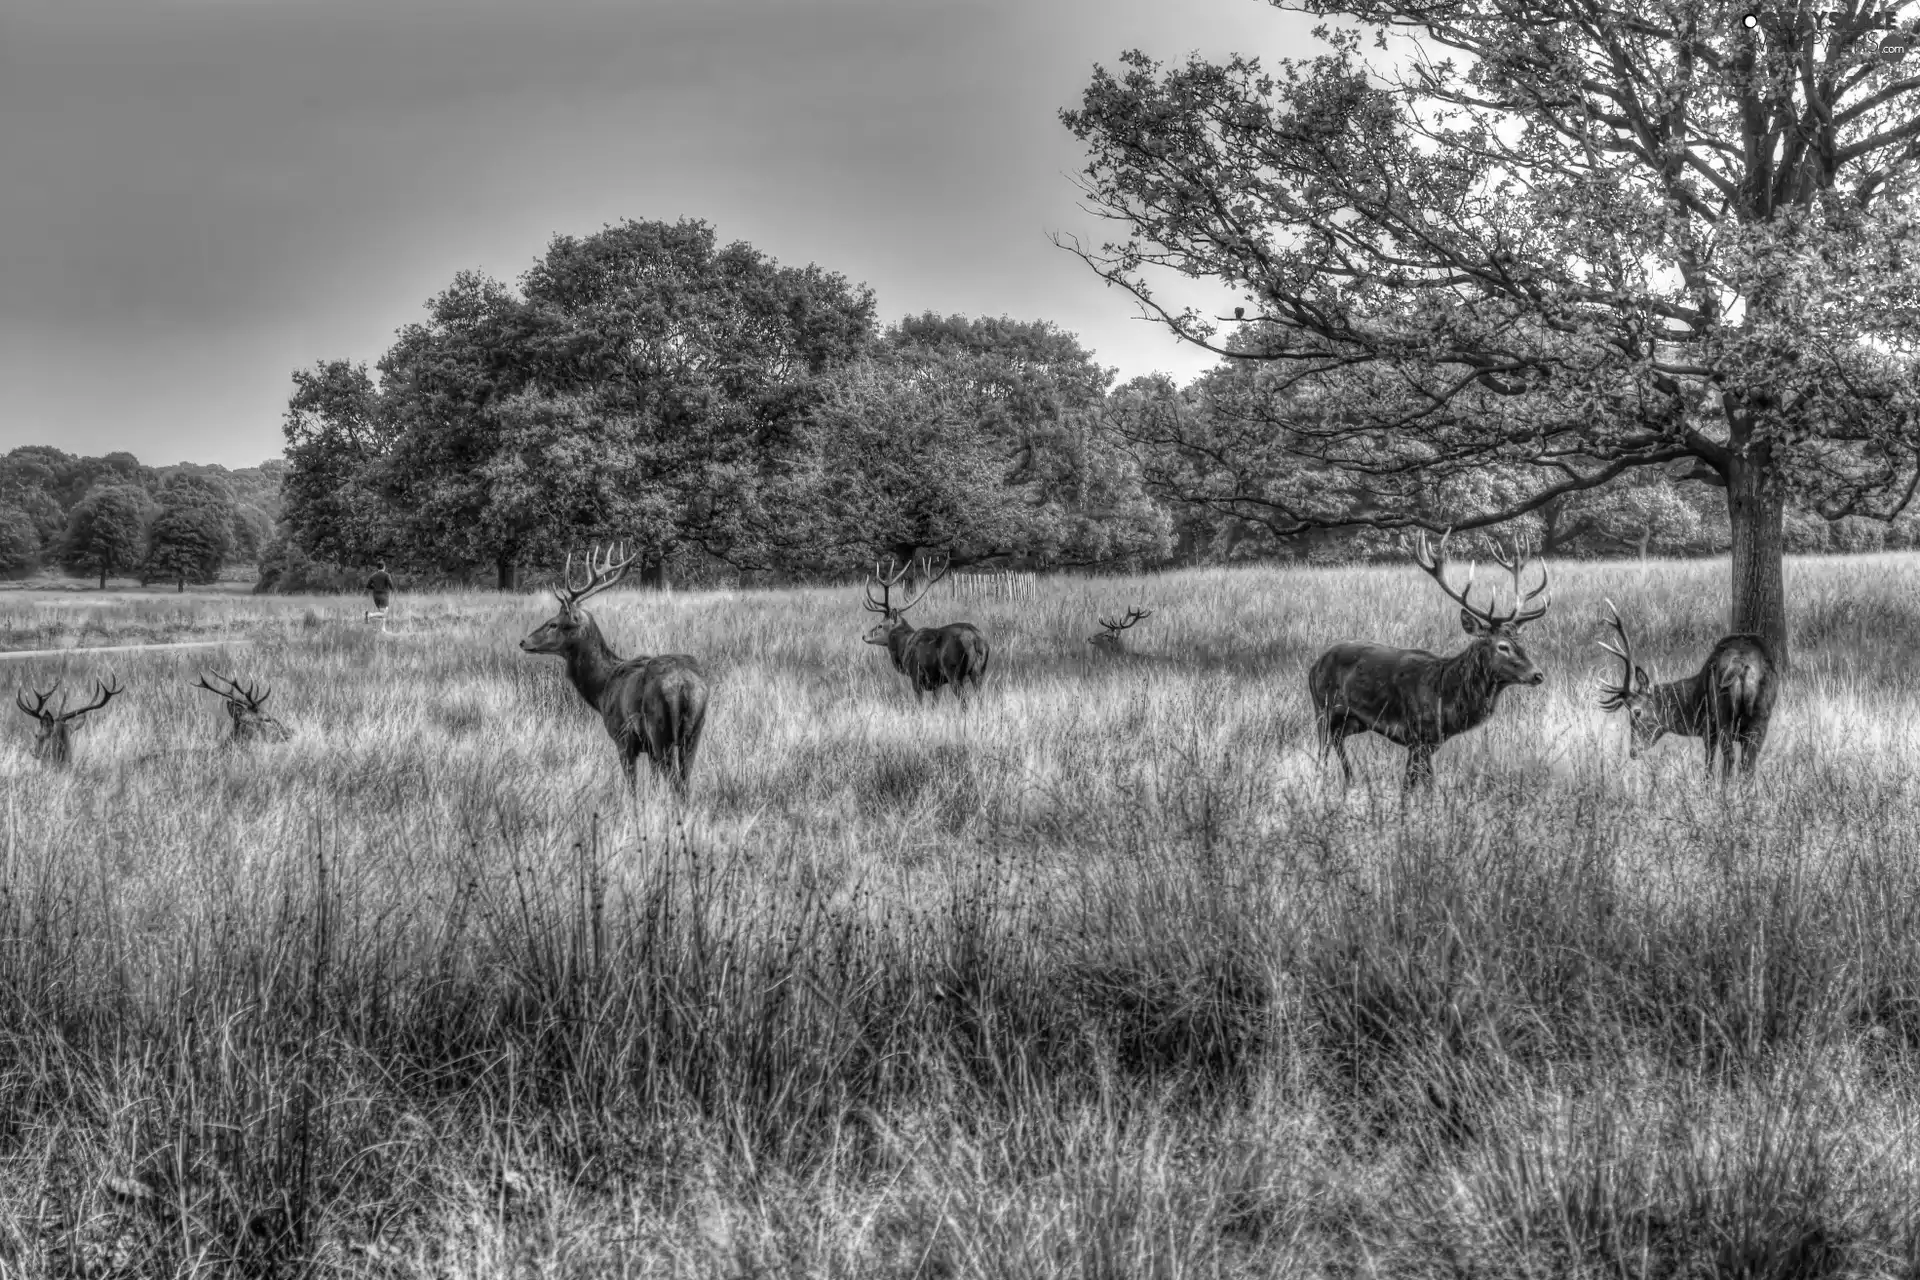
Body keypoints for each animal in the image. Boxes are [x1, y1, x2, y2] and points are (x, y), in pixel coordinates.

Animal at [518, 545, 714, 802]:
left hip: (658, 727)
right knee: (685, 779)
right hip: (694, 730)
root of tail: (683, 686)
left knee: (674, 780)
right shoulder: (648, 748)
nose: (523, 641)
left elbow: (632, 788)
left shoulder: (623, 737)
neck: (602, 689)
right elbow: (652, 785)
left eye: (553, 623)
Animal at [867, 556, 990, 706]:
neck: (904, 650)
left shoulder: (915, 676)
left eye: (880, 625)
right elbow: (934, 705)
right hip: (979, 671)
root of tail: (976, 640)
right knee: (981, 698)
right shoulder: (937, 683)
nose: (864, 636)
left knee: (964, 701)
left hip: (953, 671)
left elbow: (919, 704)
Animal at [1313, 529, 1551, 790]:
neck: (1445, 697)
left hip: (1351, 723)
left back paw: (1350, 780)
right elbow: (1416, 786)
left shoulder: (1430, 743)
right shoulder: (1416, 735)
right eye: (1503, 646)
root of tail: (1315, 664)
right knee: (1322, 753)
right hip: (1322, 710)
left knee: (1338, 746)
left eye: (1521, 644)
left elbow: (1422, 783)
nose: (1537, 674)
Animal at [1597, 602, 1774, 782]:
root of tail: (1741, 663)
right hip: (1762, 715)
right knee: (1749, 764)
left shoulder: (1708, 728)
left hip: (1722, 714)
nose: (1633, 751)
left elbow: (1708, 769)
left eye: (1636, 711)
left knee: (1730, 757)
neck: (1694, 703)